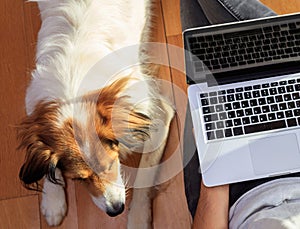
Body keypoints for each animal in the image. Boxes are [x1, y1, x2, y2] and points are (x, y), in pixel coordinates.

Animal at [18, 0, 173, 228]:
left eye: (111, 164)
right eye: (79, 179)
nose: (115, 210)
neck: (76, 95)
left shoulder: (155, 116)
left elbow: (145, 175)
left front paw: (137, 218)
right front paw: (53, 200)